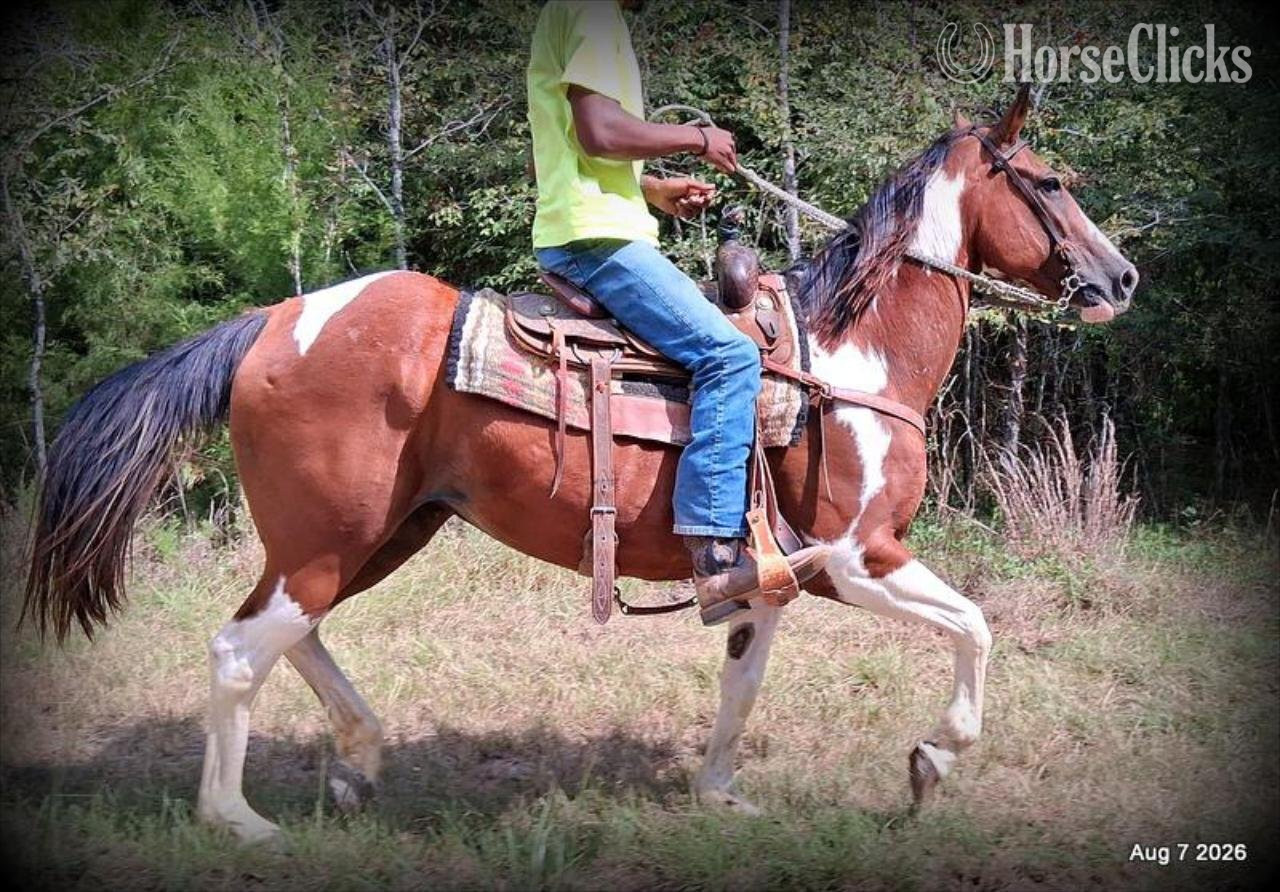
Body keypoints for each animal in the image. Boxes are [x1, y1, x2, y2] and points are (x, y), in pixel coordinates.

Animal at [23, 87, 1137, 844]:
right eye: (1048, 183)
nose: (1121, 276)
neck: (847, 355)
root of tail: (274, 321)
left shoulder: (772, 575)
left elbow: (742, 685)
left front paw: (720, 794)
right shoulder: (859, 555)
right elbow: (976, 627)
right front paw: (932, 760)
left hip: (376, 534)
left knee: (287, 633)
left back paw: (356, 763)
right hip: (332, 538)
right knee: (238, 649)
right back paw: (239, 820)